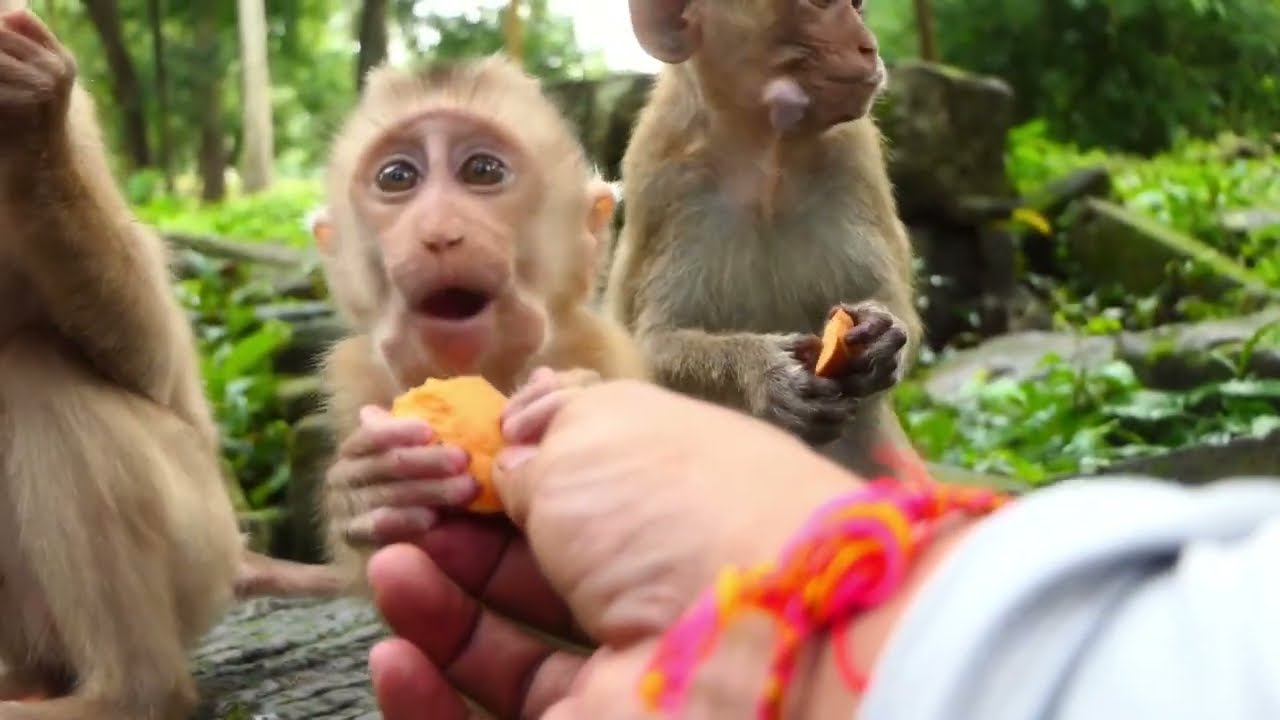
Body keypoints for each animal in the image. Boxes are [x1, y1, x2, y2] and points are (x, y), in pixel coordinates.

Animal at [313, 55, 649, 589]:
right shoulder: (354, 378)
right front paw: (370, 484)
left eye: (482, 170)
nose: (438, 233)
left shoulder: (606, 349)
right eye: (397, 177)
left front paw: (581, 409)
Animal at [606, 0, 924, 478]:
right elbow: (647, 351)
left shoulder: (855, 155)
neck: (768, 161)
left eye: (857, 6)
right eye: (816, 5)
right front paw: (763, 372)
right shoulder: (663, 179)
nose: (868, 47)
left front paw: (880, 331)